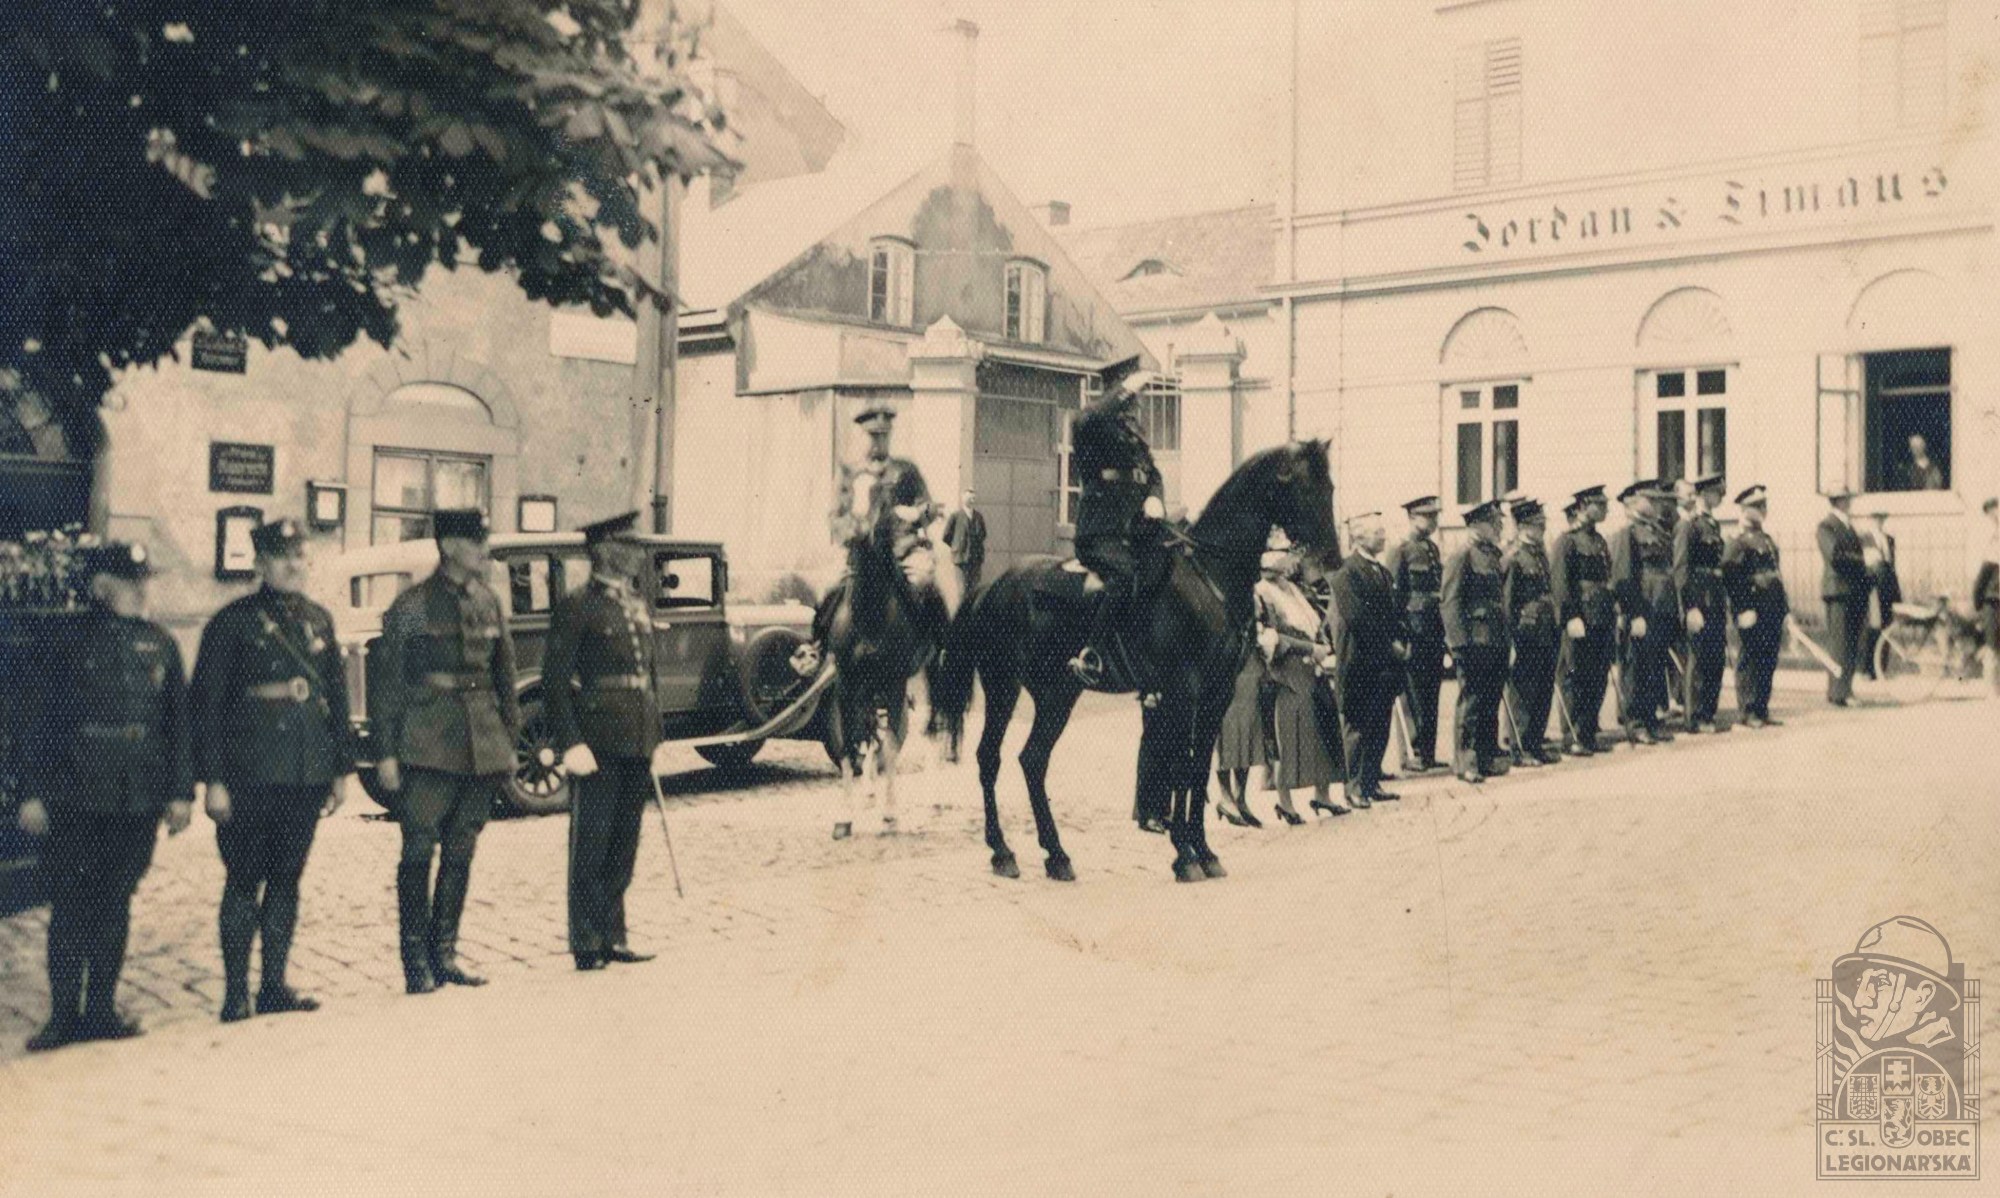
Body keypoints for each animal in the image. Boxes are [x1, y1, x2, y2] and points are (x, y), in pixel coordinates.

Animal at [929, 441, 1339, 882]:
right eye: (1307, 488)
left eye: (1330, 487)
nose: (1331, 559)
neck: (1210, 578)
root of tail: (994, 585)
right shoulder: (1183, 692)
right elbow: (1181, 766)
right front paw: (1184, 855)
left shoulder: (1217, 693)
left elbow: (1197, 768)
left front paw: (1204, 852)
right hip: (1004, 687)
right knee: (991, 757)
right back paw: (1003, 851)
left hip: (1056, 694)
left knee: (1033, 760)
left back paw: (1056, 855)